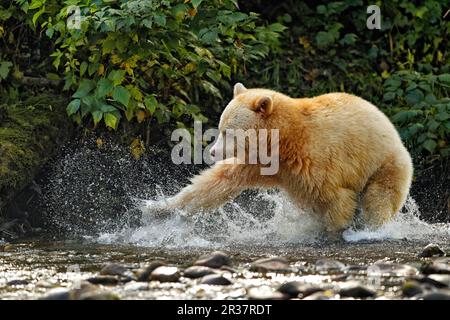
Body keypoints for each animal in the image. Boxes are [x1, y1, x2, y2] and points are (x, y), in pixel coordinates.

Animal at [163, 82, 414, 232]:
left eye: (228, 132)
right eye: (220, 127)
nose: (213, 151)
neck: (284, 141)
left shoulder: (317, 161)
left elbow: (335, 199)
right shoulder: (262, 163)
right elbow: (216, 183)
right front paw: (160, 208)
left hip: (384, 165)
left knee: (378, 200)